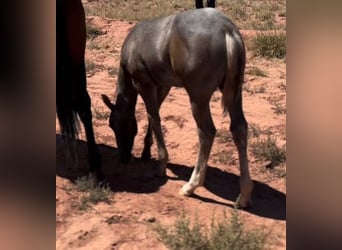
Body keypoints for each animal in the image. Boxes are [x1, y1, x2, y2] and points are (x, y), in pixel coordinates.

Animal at [101, 7, 254, 208]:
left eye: (114, 126)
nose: (124, 157)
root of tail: (226, 29)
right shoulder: (163, 85)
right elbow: (153, 115)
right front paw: (146, 151)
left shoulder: (144, 84)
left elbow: (154, 117)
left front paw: (161, 165)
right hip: (235, 94)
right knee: (239, 129)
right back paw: (244, 195)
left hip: (198, 98)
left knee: (206, 132)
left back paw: (191, 186)